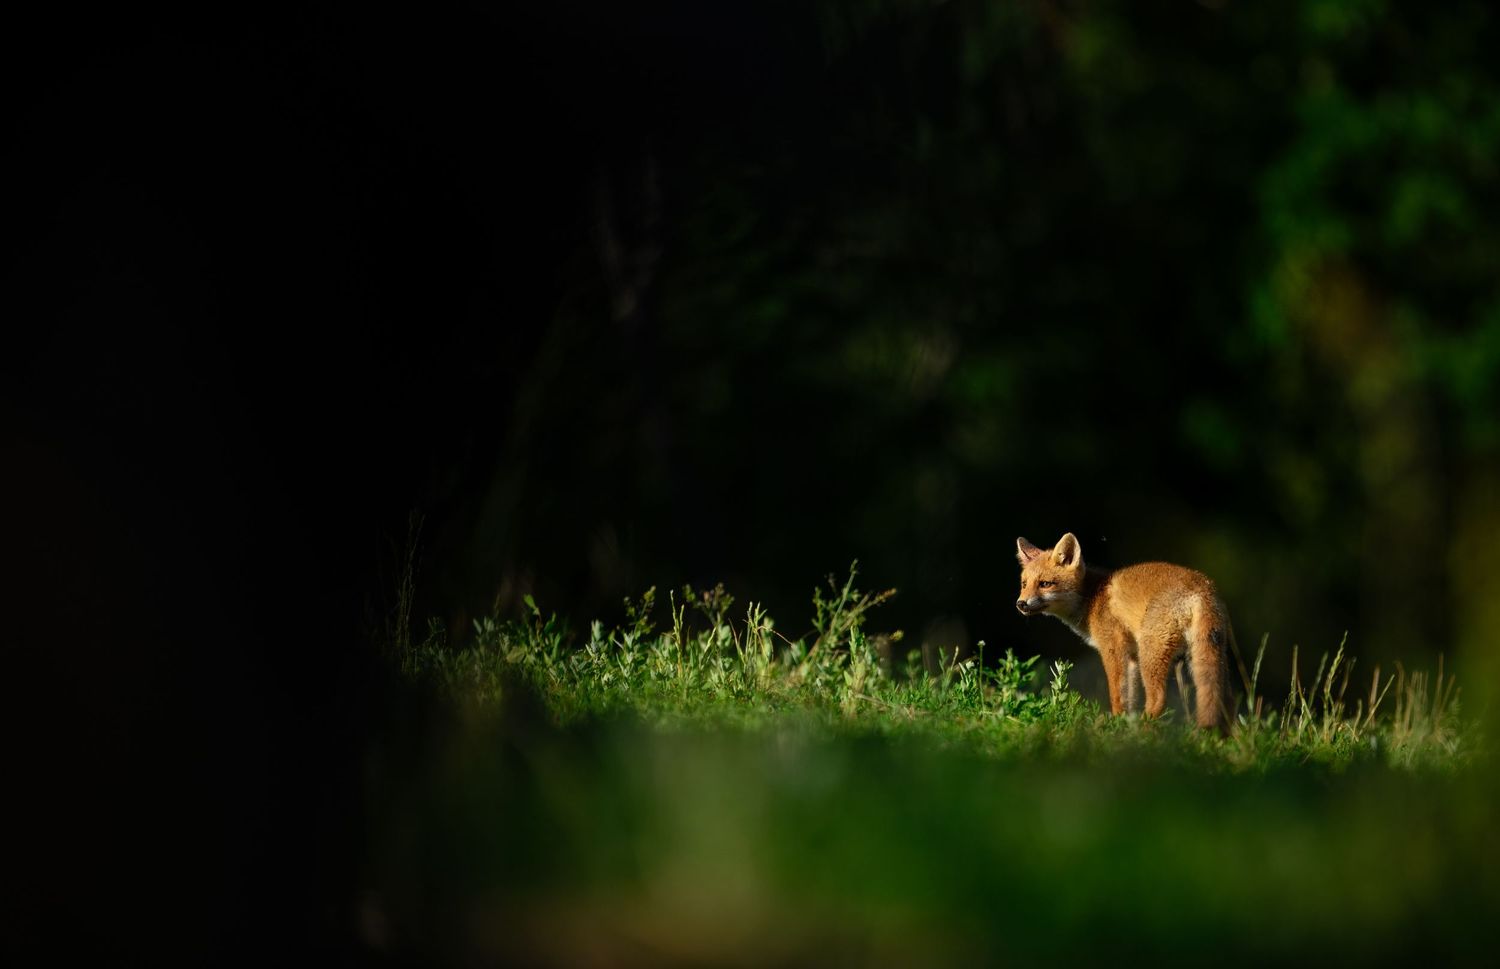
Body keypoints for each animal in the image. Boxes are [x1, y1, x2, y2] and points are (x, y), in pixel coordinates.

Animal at [1015, 533, 1236, 732]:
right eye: (1024, 584)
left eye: (1045, 584)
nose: (1021, 604)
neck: (1092, 597)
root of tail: (1201, 588)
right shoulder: (1131, 657)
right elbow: (1130, 698)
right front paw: (1124, 724)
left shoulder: (1113, 647)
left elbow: (1117, 695)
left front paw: (1115, 727)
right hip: (1208, 656)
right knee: (1226, 701)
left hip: (1151, 655)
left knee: (1158, 699)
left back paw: (1143, 732)